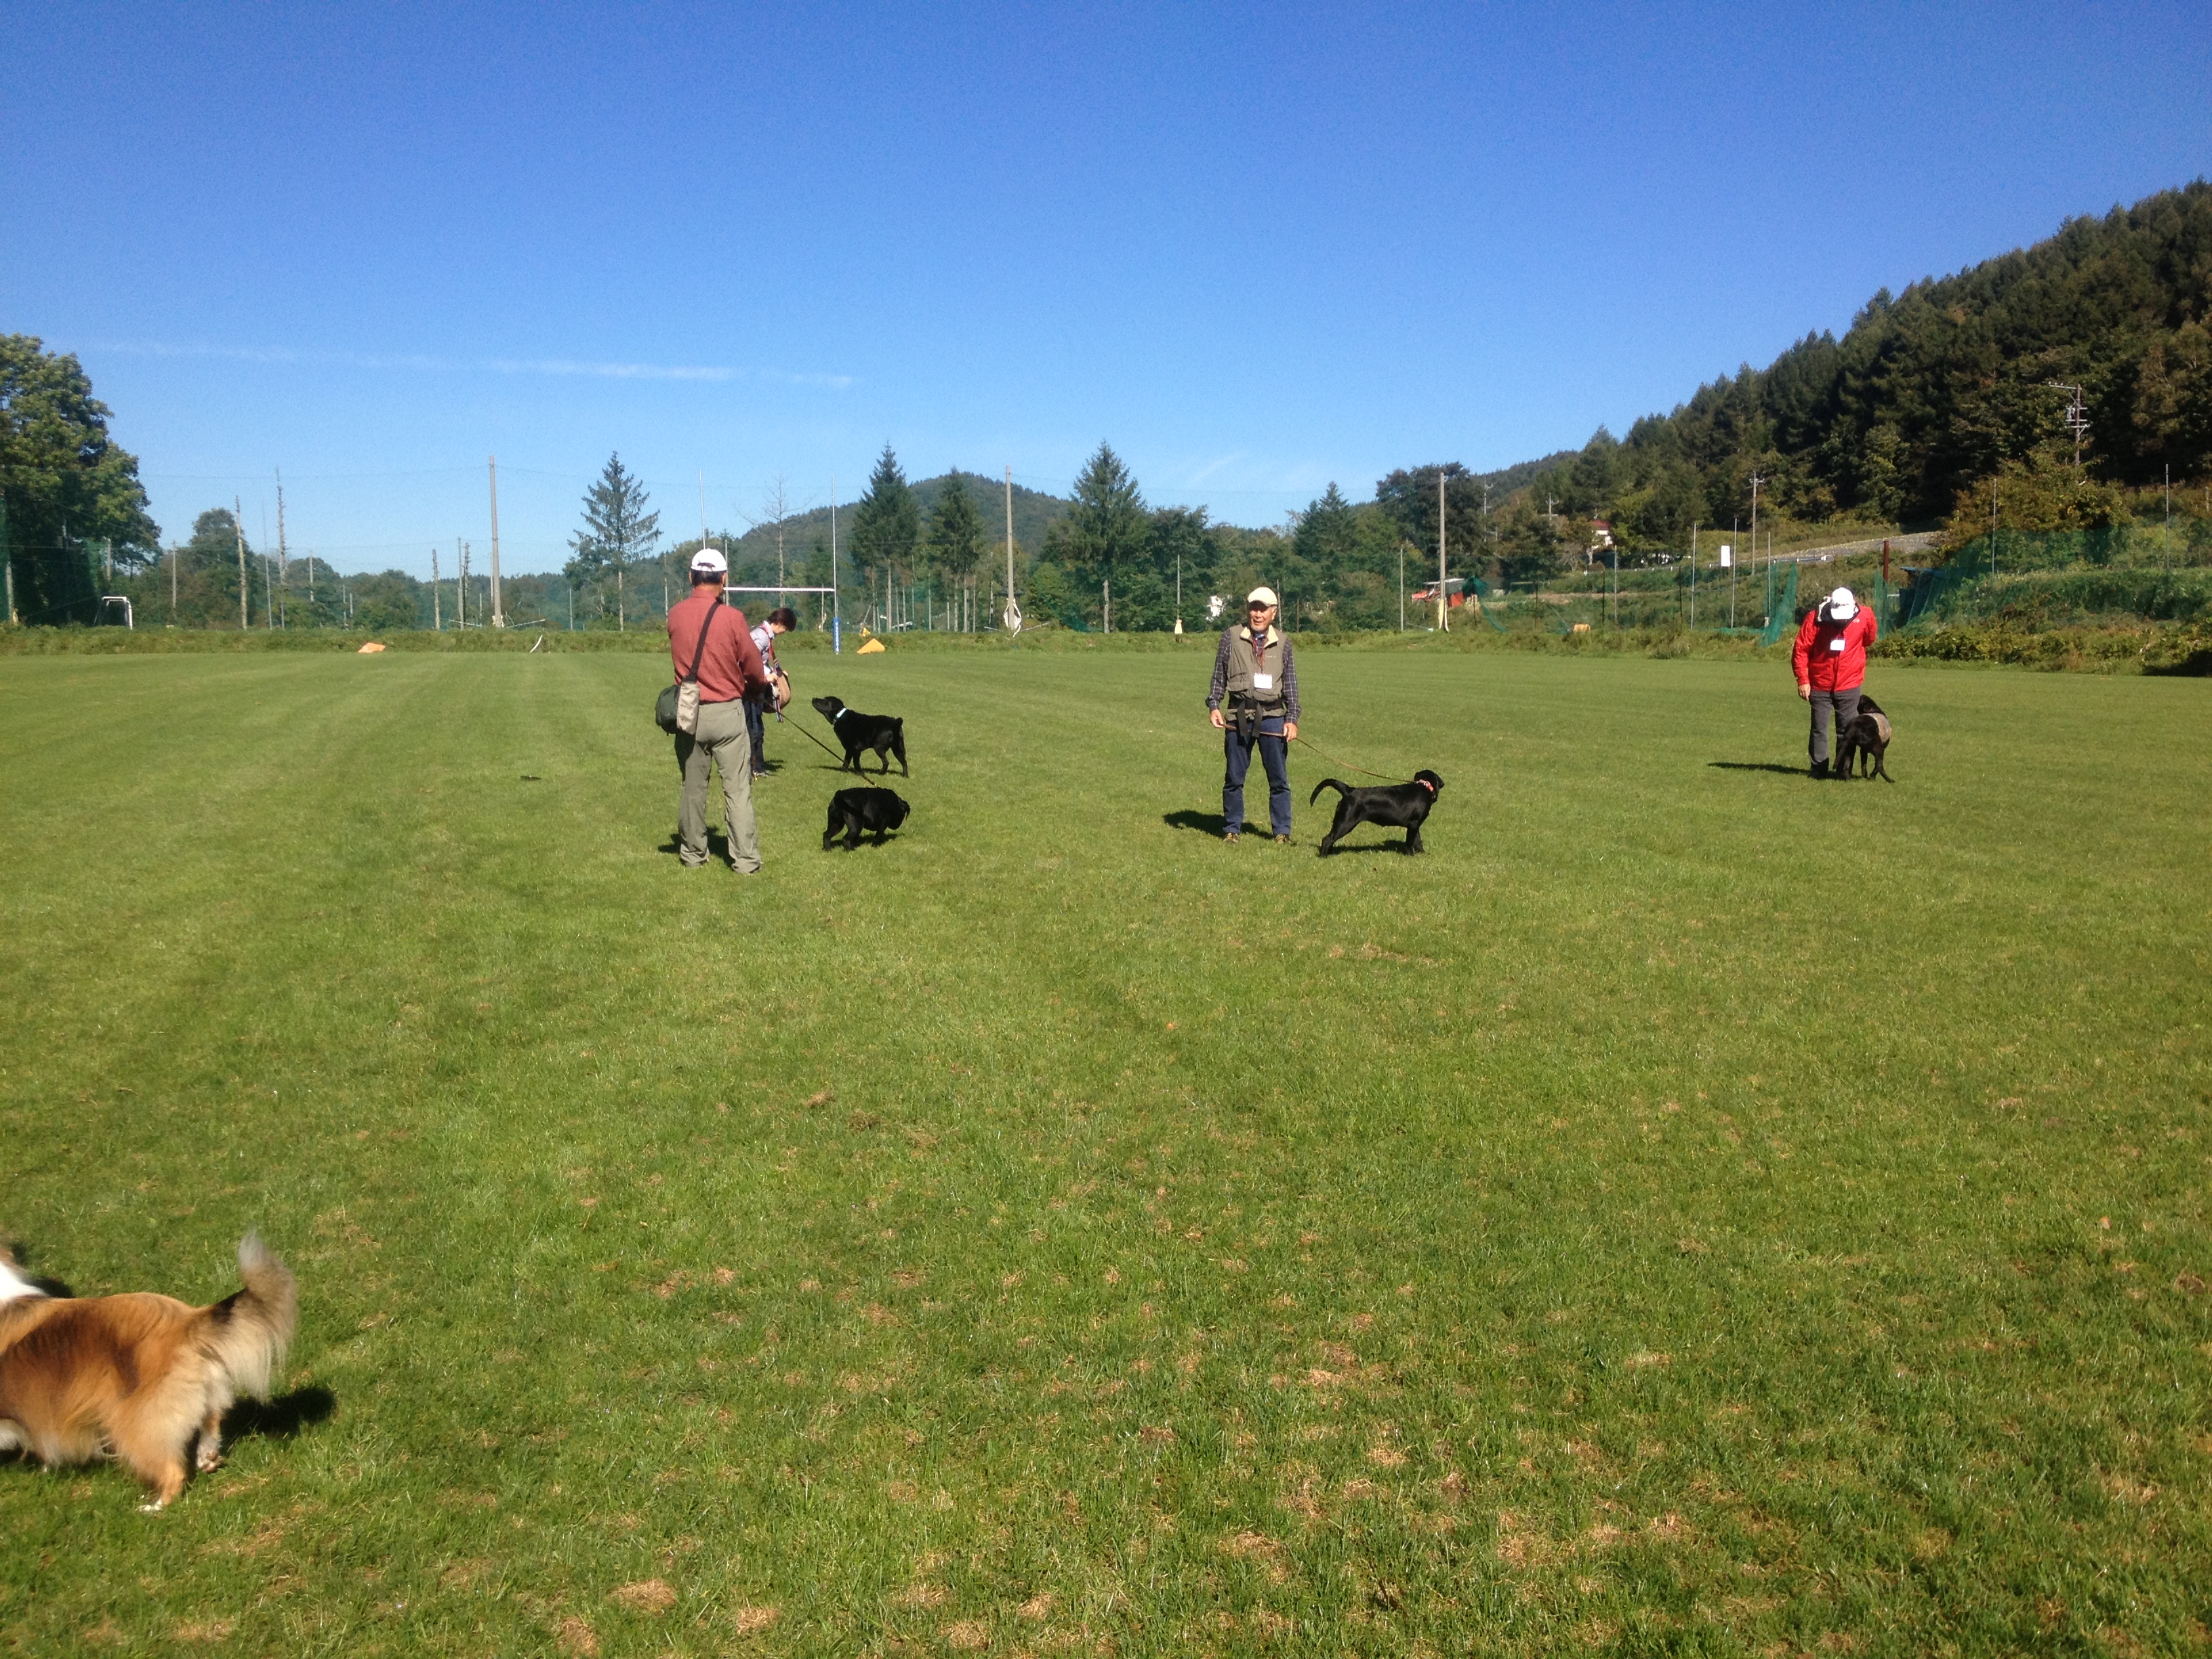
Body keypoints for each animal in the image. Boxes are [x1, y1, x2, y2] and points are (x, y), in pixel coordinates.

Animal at [0, 1238, 298, 1513]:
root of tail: (185, 1322)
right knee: (210, 1418)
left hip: (133, 1420)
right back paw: (206, 1456)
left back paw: (155, 1507)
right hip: (204, 1388)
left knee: (172, 1470)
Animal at [1300, 774, 1442, 858]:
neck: (1425, 787)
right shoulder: (1413, 824)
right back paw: (1324, 856)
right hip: (1346, 822)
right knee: (1327, 839)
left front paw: (1422, 853)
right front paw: (1411, 856)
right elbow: (1410, 842)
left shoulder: (1415, 825)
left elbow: (1418, 840)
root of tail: (1349, 791)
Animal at [1840, 694, 1893, 787]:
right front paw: (1872, 777)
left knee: (1847, 766)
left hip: (1849, 749)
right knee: (1880, 767)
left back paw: (1848, 778)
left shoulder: (1863, 751)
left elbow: (1864, 765)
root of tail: (1855, 726)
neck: (1873, 708)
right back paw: (1889, 780)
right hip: (1879, 749)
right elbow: (1876, 767)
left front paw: (1866, 775)